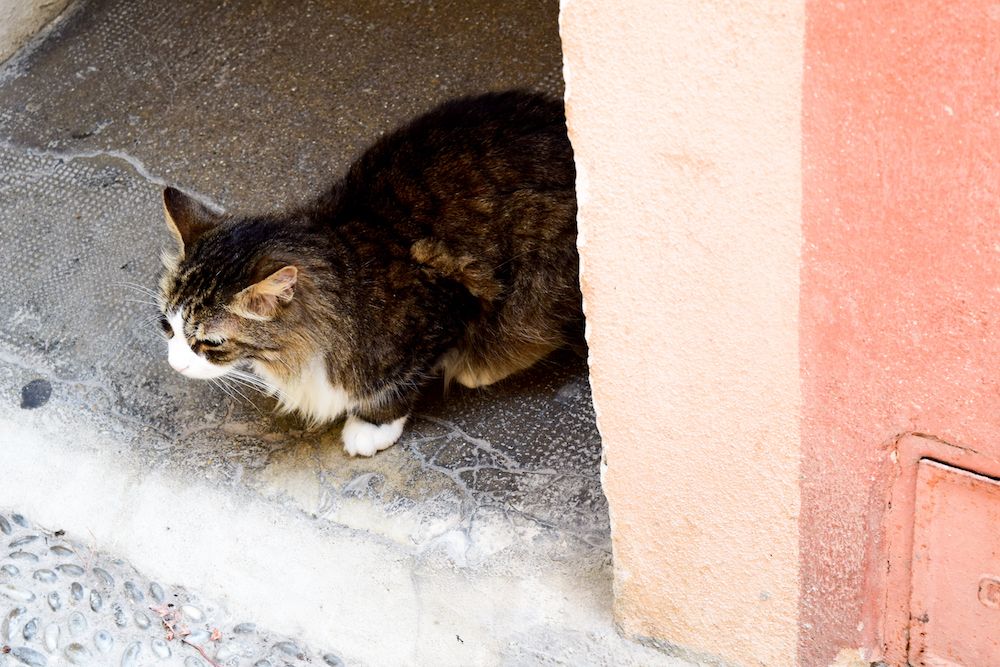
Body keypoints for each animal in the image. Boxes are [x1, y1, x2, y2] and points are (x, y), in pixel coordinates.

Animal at [155, 91, 580, 456]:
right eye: (166, 326)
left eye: (211, 343)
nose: (174, 365)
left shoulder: (447, 302)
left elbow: (399, 383)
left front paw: (371, 426)